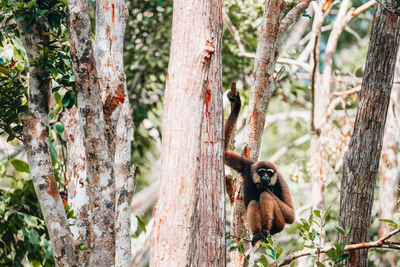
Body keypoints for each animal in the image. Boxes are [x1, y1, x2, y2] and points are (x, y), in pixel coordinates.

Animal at [223, 90, 296, 247]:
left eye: (269, 173)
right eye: (262, 172)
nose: (266, 177)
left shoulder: (280, 180)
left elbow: (291, 215)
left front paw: (262, 186)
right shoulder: (247, 166)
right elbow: (224, 152)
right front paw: (236, 106)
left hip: (279, 224)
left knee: (265, 196)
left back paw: (266, 231)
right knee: (253, 203)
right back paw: (258, 235)